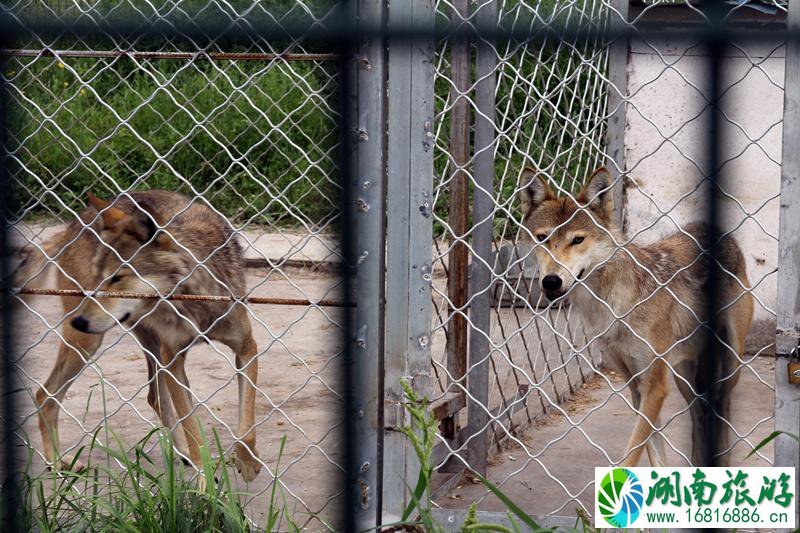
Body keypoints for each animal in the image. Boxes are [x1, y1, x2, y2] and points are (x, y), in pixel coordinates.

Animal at [14, 189, 260, 480]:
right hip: (90, 344)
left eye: (117, 278)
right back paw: (56, 464)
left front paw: (247, 461)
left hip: (149, 350)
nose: (79, 321)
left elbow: (246, 422)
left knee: (155, 398)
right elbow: (193, 430)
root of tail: (71, 226)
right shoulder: (174, 359)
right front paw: (206, 481)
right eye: (98, 276)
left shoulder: (246, 348)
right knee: (45, 395)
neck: (192, 301)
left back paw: (181, 456)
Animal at [520, 167, 752, 466]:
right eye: (542, 238)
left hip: (729, 364)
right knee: (700, 413)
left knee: (722, 406)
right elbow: (653, 455)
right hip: (683, 375)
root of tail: (719, 232)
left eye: (577, 240)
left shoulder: (655, 386)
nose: (550, 281)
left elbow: (632, 454)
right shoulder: (637, 386)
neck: (612, 306)